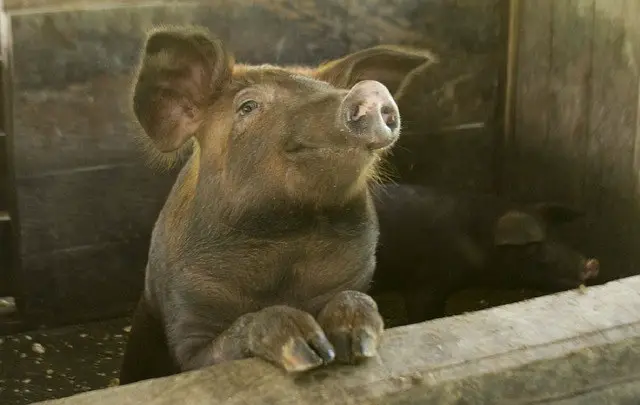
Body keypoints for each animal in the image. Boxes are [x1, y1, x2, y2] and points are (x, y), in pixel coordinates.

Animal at [118, 26, 432, 384]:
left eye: (333, 90)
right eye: (248, 106)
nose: (369, 90)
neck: (287, 237)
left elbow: (355, 296)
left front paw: (357, 340)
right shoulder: (186, 319)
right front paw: (308, 350)